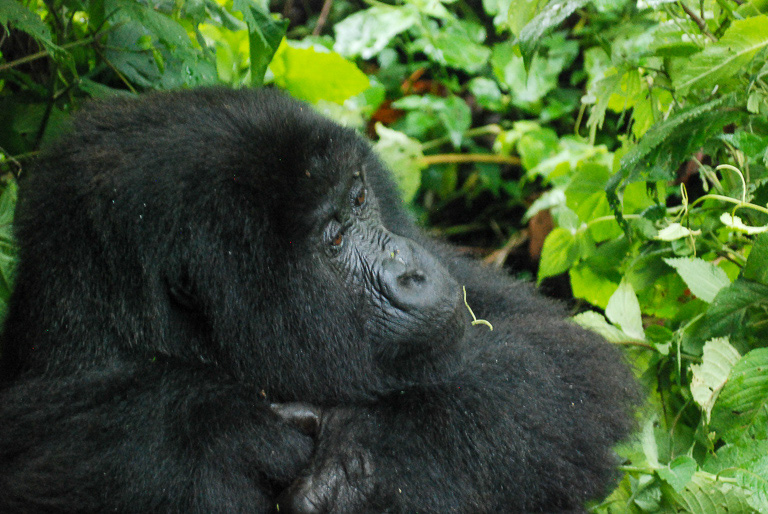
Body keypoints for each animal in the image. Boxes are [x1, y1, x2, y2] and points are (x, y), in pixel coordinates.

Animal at [0, 88, 636, 512]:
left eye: (358, 199)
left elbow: (568, 372)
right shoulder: (124, 462)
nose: (410, 271)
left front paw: (362, 459)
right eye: (332, 239)